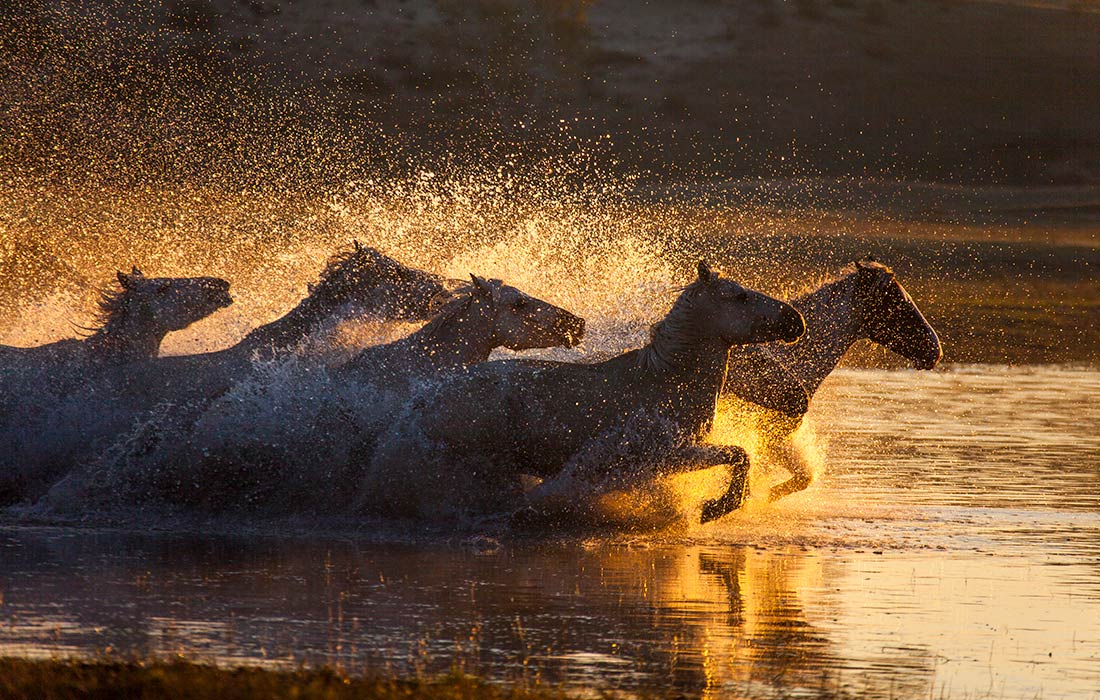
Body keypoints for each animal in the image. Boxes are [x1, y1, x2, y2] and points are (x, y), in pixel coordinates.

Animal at [365, 261, 805, 523]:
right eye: (741, 295)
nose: (795, 321)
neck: (665, 381)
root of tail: (426, 397)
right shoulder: (667, 454)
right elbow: (740, 454)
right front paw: (716, 508)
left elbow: (739, 456)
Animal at [721, 257, 946, 504]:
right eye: (895, 301)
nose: (935, 351)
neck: (790, 361)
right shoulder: (766, 434)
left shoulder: (775, 439)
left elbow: (802, 478)